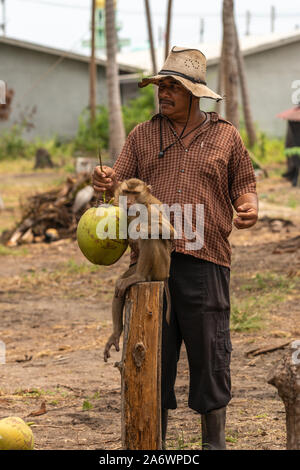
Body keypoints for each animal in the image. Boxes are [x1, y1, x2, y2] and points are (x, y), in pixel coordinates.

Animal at [103, 178, 175, 362]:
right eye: (126, 192)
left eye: (135, 194)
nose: (129, 201)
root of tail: (165, 275)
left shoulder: (152, 208)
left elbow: (169, 232)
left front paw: (138, 229)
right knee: (119, 288)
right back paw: (116, 333)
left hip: (161, 265)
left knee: (152, 237)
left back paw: (140, 277)